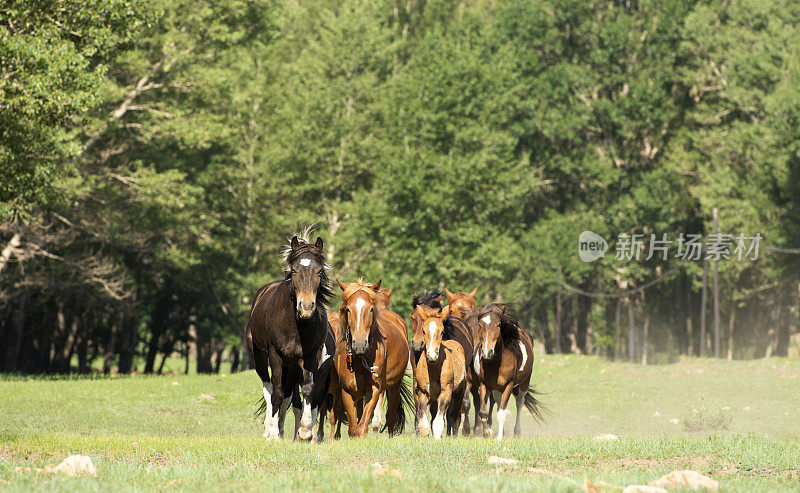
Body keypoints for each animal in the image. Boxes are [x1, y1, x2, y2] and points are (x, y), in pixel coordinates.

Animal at [244, 235, 332, 442]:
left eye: (319, 271)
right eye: (294, 270)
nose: (306, 307)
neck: (295, 326)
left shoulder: (308, 357)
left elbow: (306, 389)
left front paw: (305, 430)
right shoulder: (275, 356)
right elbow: (276, 393)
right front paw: (273, 433)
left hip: (291, 366)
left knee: (287, 396)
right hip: (260, 359)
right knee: (269, 390)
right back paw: (269, 429)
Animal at [326, 278, 412, 436]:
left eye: (371, 309)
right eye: (348, 309)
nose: (360, 344)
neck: (360, 360)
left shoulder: (374, 389)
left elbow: (363, 425)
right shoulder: (347, 390)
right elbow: (354, 427)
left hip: (394, 386)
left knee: (391, 417)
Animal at [476, 302, 544, 440]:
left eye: (498, 324)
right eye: (480, 325)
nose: (487, 352)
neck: (496, 363)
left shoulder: (509, 385)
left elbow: (502, 414)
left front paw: (499, 438)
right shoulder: (484, 385)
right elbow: (483, 413)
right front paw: (487, 433)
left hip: (524, 383)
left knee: (519, 402)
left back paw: (517, 431)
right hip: (497, 389)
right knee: (498, 403)